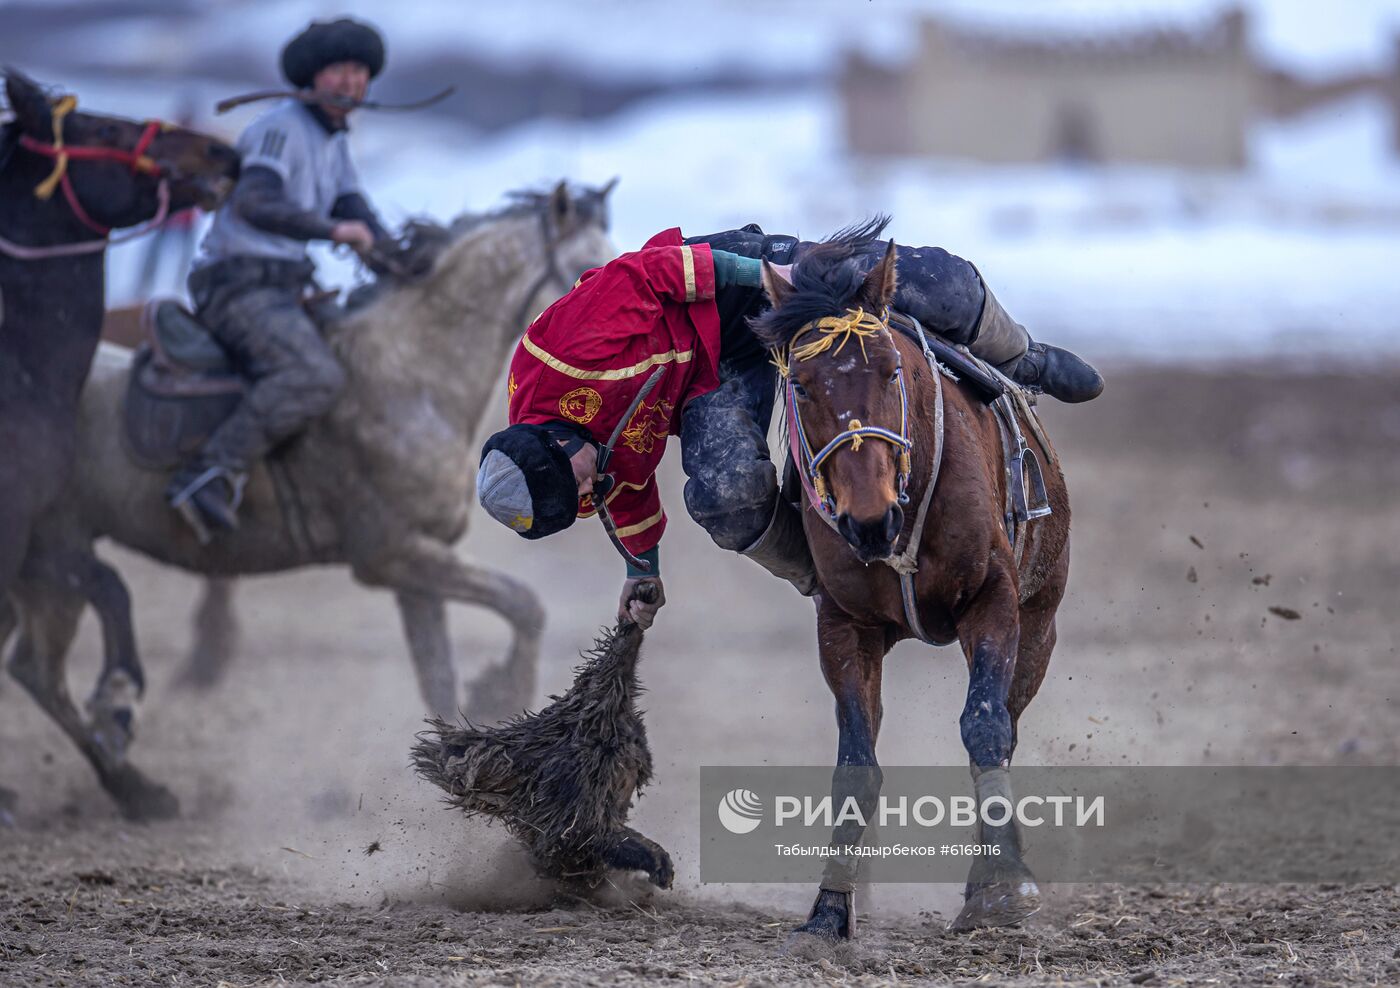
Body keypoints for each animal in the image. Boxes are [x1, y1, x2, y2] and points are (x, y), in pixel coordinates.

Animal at [0, 69, 238, 817]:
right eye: (103, 128)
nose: (222, 154)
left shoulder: (39, 535)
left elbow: (110, 589)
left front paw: (121, 731)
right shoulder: (19, 531)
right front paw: (117, 706)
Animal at [756, 223, 1069, 940]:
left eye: (891, 370)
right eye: (803, 386)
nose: (870, 517)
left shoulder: (995, 601)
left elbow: (984, 728)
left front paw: (1004, 888)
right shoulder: (844, 627)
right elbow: (856, 764)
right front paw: (830, 907)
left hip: (1041, 624)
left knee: (1007, 727)